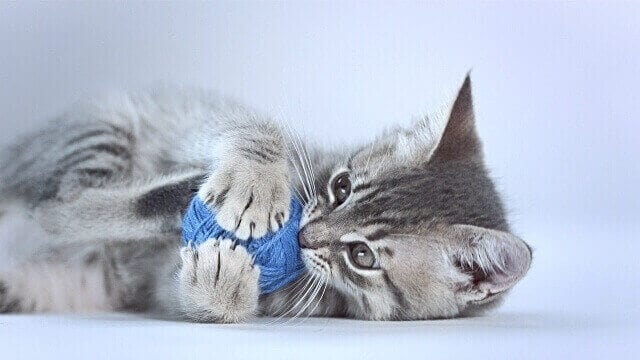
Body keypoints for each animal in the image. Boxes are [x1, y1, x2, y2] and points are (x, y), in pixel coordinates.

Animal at [0, 76, 528, 324]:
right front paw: (257, 175)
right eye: (341, 187)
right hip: (109, 125)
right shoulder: (201, 119)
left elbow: (193, 297)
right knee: (55, 205)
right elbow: (255, 128)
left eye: (362, 255)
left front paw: (222, 282)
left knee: (53, 212)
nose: (304, 234)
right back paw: (181, 191)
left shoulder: (157, 285)